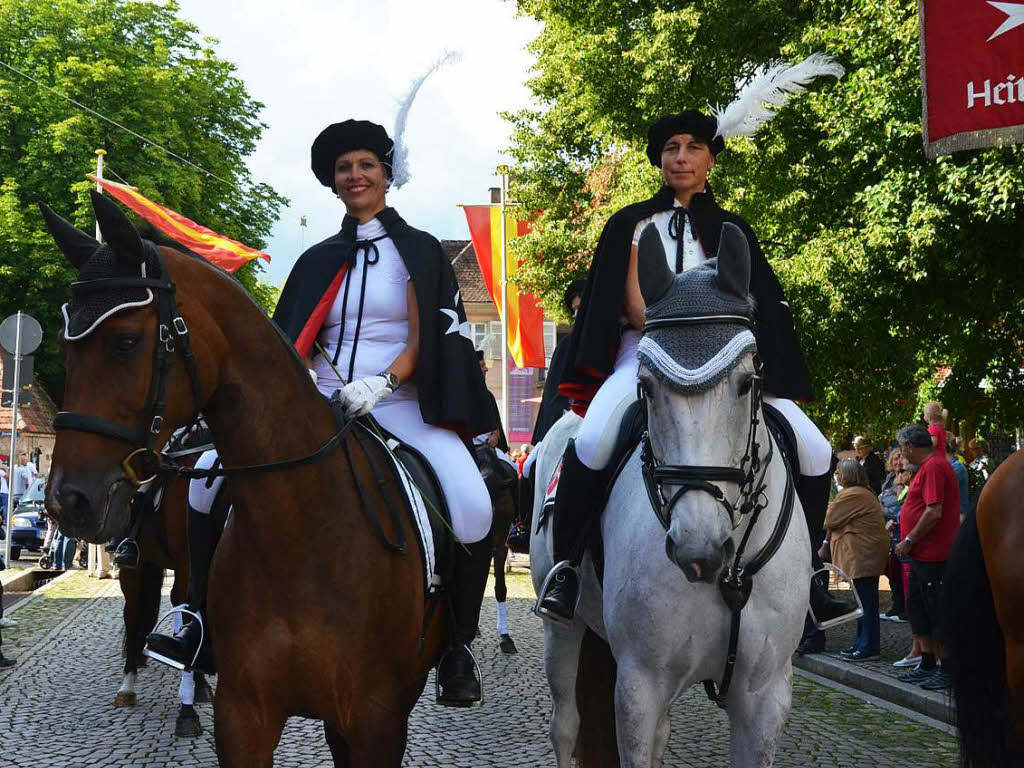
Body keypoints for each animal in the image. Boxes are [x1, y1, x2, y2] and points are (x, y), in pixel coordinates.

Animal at [45, 193, 444, 768]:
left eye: (125, 342)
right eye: (63, 347)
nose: (66, 502)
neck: (305, 532)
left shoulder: (377, 721)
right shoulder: (244, 716)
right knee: (138, 610)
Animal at [532, 222, 811, 768]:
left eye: (747, 380)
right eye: (646, 384)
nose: (698, 549)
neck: (729, 574)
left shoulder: (765, 696)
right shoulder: (640, 683)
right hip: (562, 631)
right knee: (565, 725)